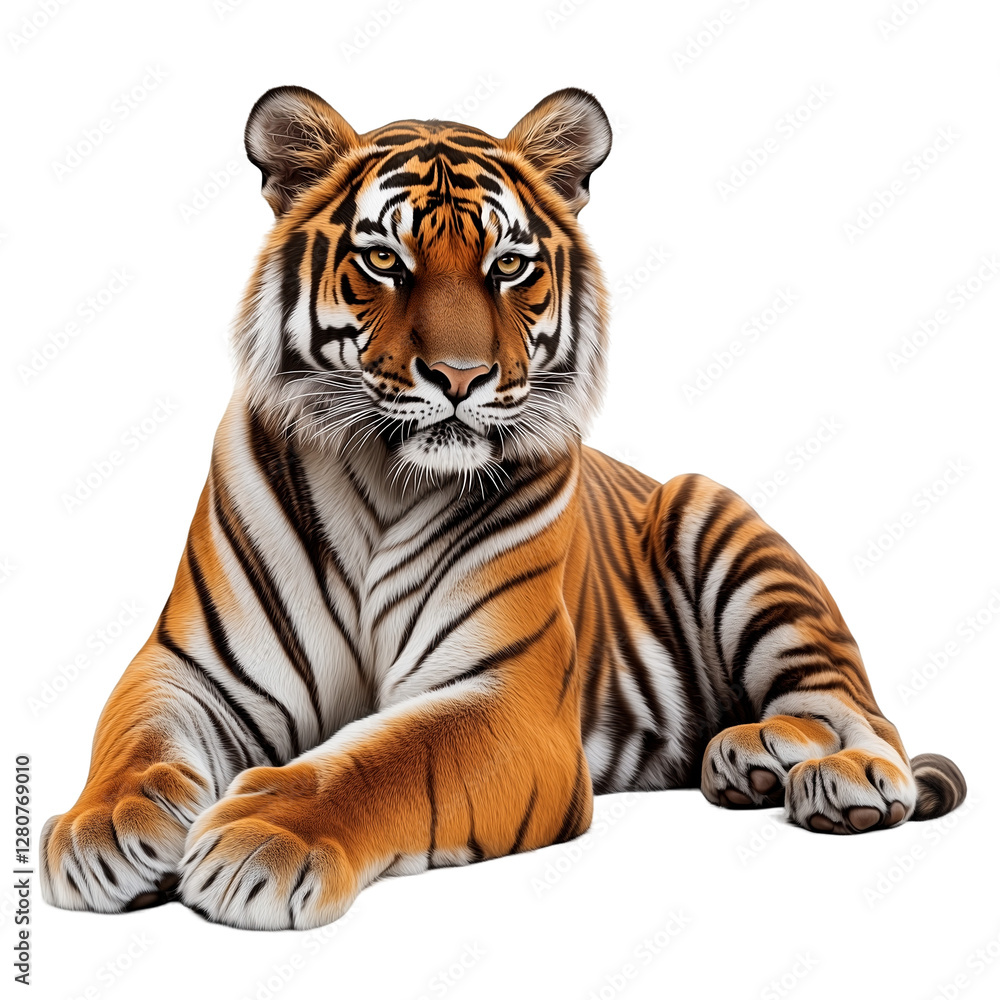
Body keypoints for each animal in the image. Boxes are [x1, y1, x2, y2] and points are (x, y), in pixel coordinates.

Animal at [41, 85, 966, 930]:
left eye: (509, 266)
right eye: (386, 261)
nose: (460, 377)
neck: (387, 481)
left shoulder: (503, 698)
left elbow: (384, 760)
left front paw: (262, 836)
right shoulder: (191, 667)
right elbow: (133, 738)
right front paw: (103, 829)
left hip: (726, 530)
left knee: (853, 706)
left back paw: (831, 773)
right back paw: (747, 762)